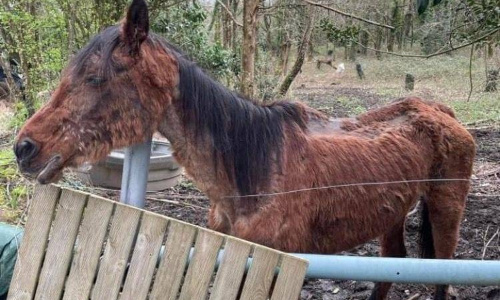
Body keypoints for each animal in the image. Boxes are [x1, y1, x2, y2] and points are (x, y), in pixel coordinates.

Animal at [13, 1, 474, 298]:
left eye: (94, 78)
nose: (23, 148)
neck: (252, 170)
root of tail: (441, 110)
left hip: (446, 211)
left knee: (442, 277)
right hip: (393, 214)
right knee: (391, 265)